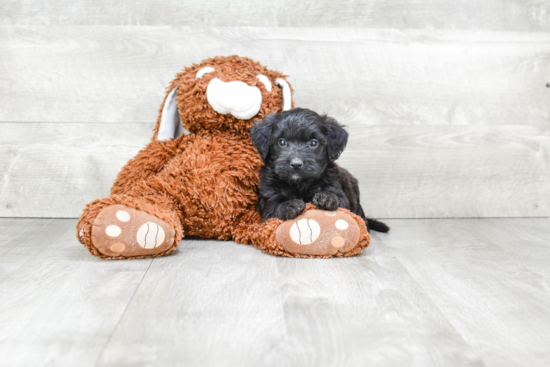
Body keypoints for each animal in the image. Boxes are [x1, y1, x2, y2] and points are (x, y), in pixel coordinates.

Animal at [252, 108, 390, 233]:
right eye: (282, 142)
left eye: (313, 143)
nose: (296, 164)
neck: (299, 183)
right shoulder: (269, 204)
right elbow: (276, 208)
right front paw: (290, 205)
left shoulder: (339, 193)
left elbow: (339, 201)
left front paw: (327, 198)